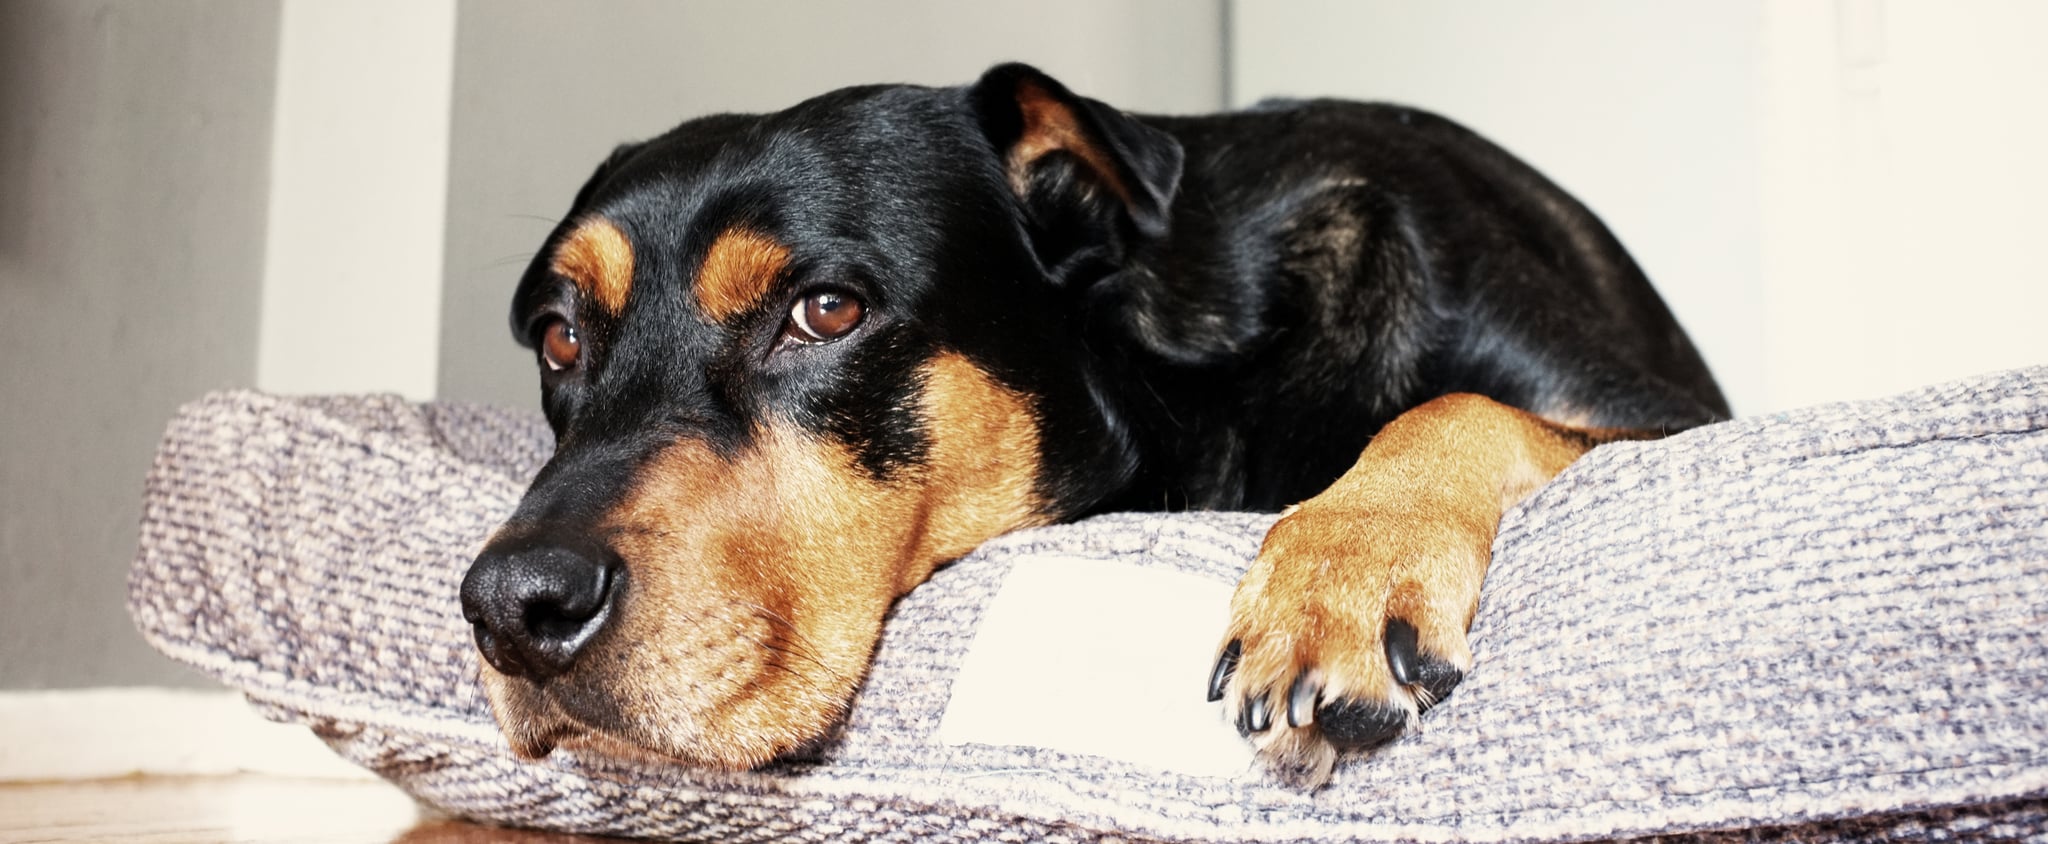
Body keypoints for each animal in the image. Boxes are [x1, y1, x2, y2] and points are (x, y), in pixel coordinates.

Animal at [456, 62, 1720, 786]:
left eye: (825, 310)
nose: (512, 608)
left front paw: (1341, 579)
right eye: (559, 338)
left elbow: (1459, 403)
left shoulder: (1673, 421)